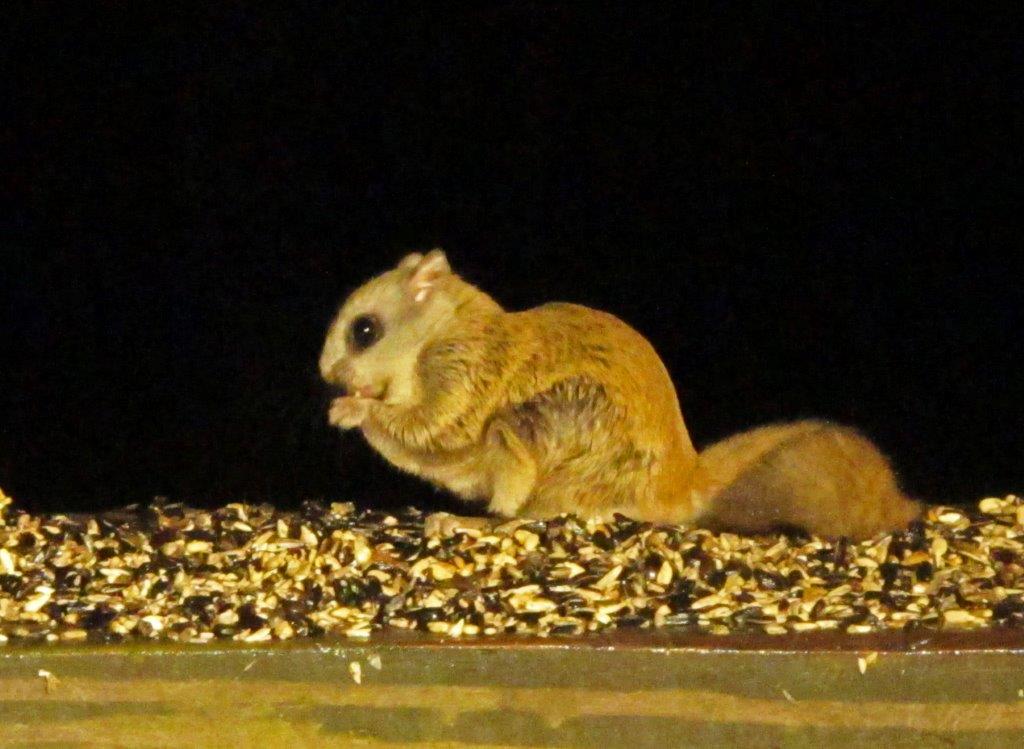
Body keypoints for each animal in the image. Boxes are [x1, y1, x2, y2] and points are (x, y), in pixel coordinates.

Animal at [320, 250, 922, 539]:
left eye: (364, 331)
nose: (328, 375)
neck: (439, 332)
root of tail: (678, 484)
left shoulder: (463, 371)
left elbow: (434, 429)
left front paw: (353, 409)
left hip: (543, 430)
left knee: (525, 514)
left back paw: (467, 522)